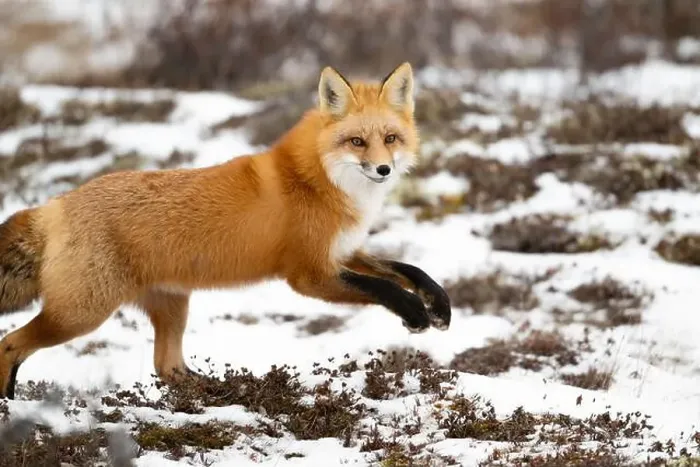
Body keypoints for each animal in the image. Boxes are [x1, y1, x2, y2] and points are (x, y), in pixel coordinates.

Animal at [0, 62, 451, 399]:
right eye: (356, 141)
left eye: (390, 138)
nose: (384, 169)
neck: (320, 182)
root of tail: (55, 205)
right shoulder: (309, 275)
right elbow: (382, 287)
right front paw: (414, 312)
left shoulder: (343, 253)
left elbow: (407, 270)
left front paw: (439, 305)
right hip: (80, 315)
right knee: (10, 343)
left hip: (172, 307)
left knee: (168, 367)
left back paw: (223, 391)